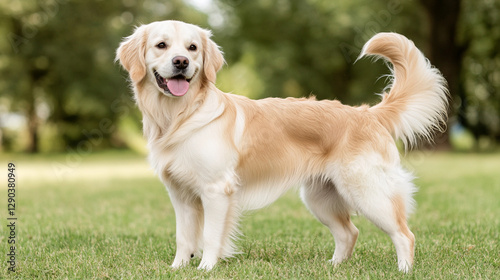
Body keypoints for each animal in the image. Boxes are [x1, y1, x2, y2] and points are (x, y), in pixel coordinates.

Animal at [115, 20, 448, 274]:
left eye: (192, 48)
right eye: (161, 45)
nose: (181, 63)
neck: (181, 117)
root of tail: (368, 113)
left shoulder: (216, 190)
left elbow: (209, 236)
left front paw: (206, 268)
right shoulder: (180, 195)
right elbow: (184, 238)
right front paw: (177, 269)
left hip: (368, 192)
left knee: (404, 234)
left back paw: (403, 270)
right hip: (320, 197)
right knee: (349, 232)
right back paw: (333, 267)